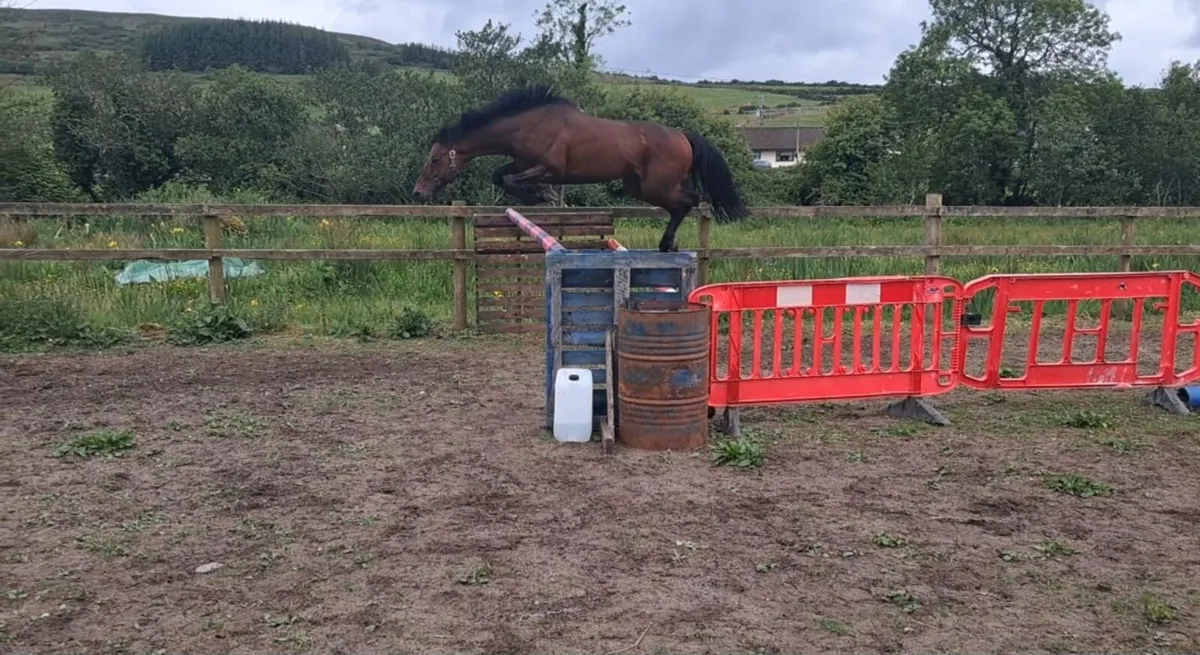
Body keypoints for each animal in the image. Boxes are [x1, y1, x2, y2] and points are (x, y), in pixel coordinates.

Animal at [412, 84, 750, 253]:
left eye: (435, 159)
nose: (418, 193)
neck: (527, 125)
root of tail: (683, 135)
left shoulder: (549, 168)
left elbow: (510, 180)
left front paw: (541, 196)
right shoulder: (522, 163)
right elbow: (500, 176)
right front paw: (536, 197)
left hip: (657, 186)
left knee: (688, 202)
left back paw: (667, 244)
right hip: (639, 186)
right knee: (683, 204)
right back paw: (669, 245)